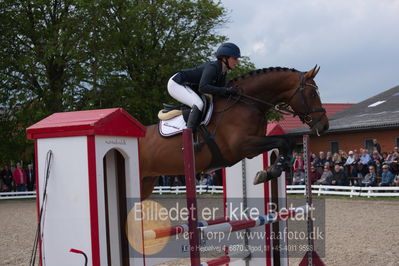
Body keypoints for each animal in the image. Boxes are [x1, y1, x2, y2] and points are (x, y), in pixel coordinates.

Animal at [139, 66, 330, 200]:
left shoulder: (252, 146)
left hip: (147, 181)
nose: (324, 126)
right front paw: (269, 172)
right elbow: (283, 141)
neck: (247, 103)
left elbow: (287, 142)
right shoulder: (243, 146)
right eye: (312, 94)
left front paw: (269, 171)